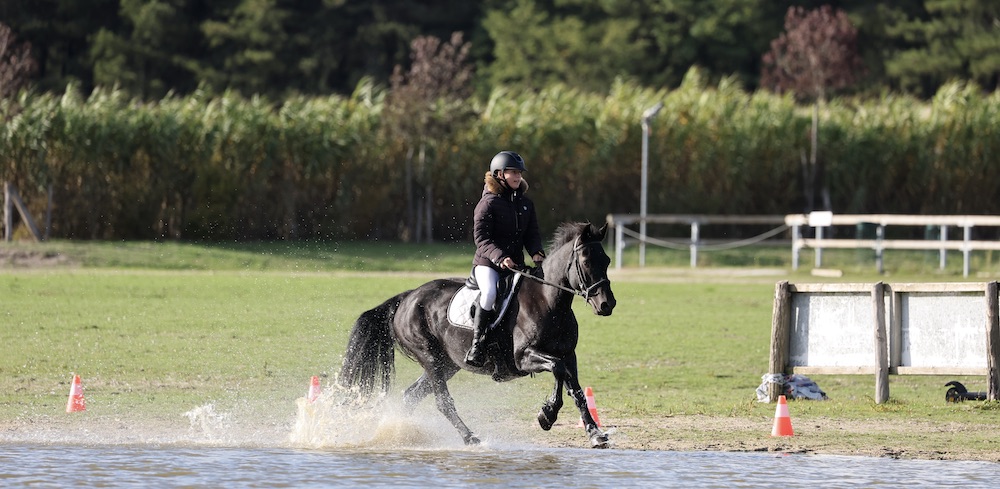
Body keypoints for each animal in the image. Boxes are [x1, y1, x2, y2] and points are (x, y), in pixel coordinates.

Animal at [340, 221, 612, 446]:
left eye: (607, 261)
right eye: (586, 262)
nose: (607, 305)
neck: (549, 302)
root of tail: (407, 298)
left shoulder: (568, 355)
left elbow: (575, 389)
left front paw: (594, 433)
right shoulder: (523, 358)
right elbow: (557, 369)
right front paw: (547, 415)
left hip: (447, 363)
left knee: (411, 396)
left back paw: (398, 434)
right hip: (429, 357)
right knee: (442, 401)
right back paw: (470, 437)